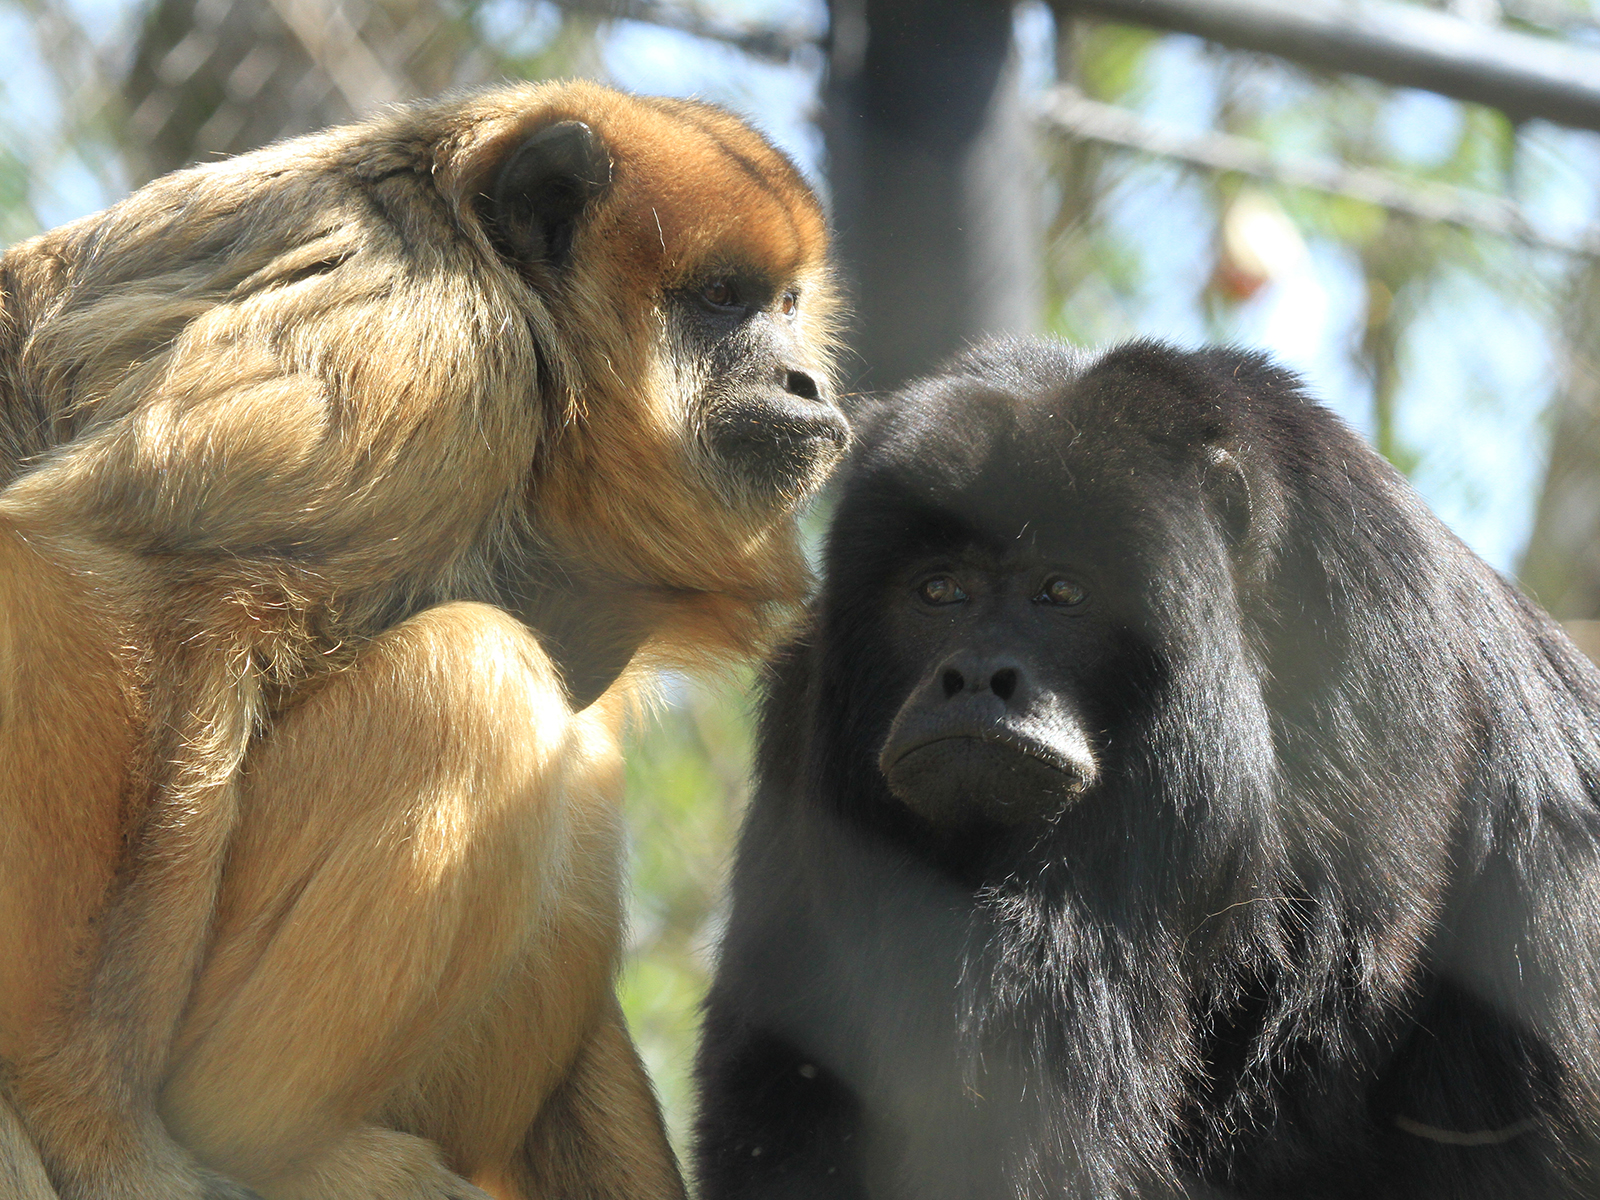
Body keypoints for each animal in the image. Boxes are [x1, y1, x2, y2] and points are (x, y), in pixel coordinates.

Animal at [0, 79, 846, 1200]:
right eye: (719, 298)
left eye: (786, 303)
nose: (806, 382)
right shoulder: (421, 350)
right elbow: (87, 563)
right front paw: (91, 1127)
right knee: (473, 677)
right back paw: (269, 1143)